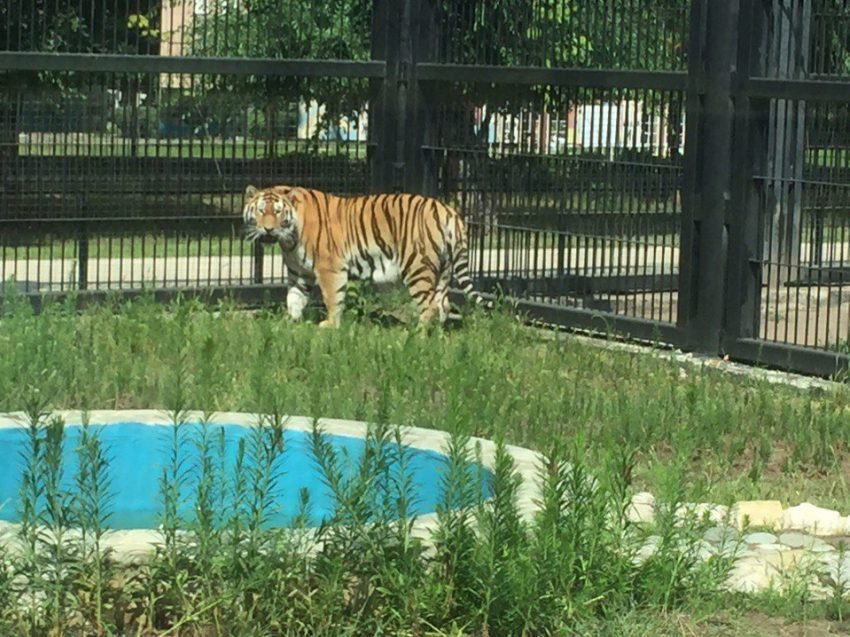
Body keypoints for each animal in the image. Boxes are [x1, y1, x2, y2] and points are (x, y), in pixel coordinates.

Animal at [242, 181, 486, 326]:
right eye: (261, 210)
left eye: (278, 212)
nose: (268, 229)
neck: (289, 239)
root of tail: (448, 210)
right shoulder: (298, 273)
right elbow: (293, 299)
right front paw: (287, 324)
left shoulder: (329, 268)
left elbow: (332, 298)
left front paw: (329, 326)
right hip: (443, 270)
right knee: (443, 305)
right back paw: (437, 338)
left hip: (417, 266)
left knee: (430, 306)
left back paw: (415, 335)